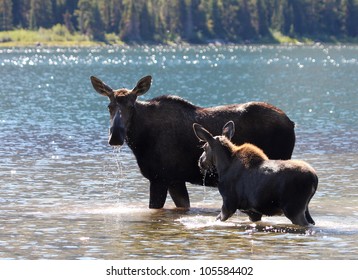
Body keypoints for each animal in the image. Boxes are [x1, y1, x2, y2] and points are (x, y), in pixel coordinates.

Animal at [89, 75, 294, 209]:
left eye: (131, 106)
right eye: (109, 106)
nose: (115, 136)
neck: (140, 141)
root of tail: (291, 122)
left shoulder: (159, 178)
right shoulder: (174, 180)